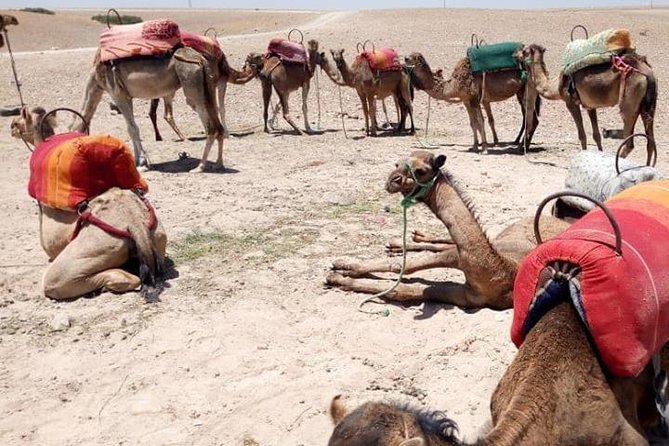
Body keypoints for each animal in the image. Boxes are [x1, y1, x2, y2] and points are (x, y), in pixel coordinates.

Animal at [73, 46, 224, 172]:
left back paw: (200, 167)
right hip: (209, 86)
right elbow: (131, 128)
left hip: (192, 87)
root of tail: (200, 59)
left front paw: (143, 164)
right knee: (219, 127)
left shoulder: (116, 93)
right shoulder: (126, 96)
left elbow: (132, 128)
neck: (96, 77)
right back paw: (218, 163)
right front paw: (137, 162)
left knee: (211, 128)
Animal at [326, 150, 570, 310]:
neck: (498, 269)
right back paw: (403, 242)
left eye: (421, 171)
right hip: (503, 235)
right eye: (397, 163)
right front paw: (343, 267)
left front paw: (338, 276)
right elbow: (407, 267)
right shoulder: (459, 260)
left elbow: (402, 287)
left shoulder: (466, 296)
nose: (392, 181)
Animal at [404, 52, 541, 152]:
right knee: (532, 119)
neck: (455, 83)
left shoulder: (475, 98)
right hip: (521, 92)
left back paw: (520, 147)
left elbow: (480, 121)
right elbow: (473, 123)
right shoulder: (466, 100)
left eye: (416, 58)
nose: (405, 58)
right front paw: (474, 146)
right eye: (410, 56)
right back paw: (524, 146)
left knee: (530, 119)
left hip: (528, 89)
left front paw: (484, 148)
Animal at [519, 44, 657, 158]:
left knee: (629, 142)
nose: (516, 54)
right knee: (650, 143)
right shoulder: (590, 106)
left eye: (524, 51)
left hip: (629, 102)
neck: (555, 86)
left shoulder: (570, 102)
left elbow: (582, 135)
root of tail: (647, 72)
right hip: (649, 105)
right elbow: (596, 135)